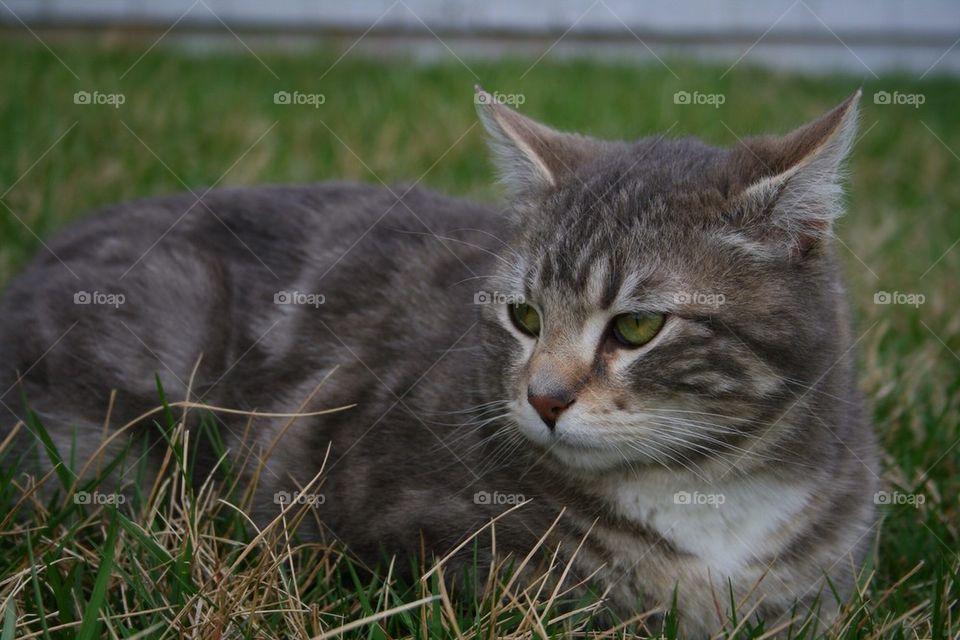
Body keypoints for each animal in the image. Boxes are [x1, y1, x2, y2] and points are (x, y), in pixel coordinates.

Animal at [1, 86, 876, 636]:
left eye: (636, 326)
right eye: (525, 316)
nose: (544, 398)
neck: (705, 498)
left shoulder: (823, 591)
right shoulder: (410, 535)